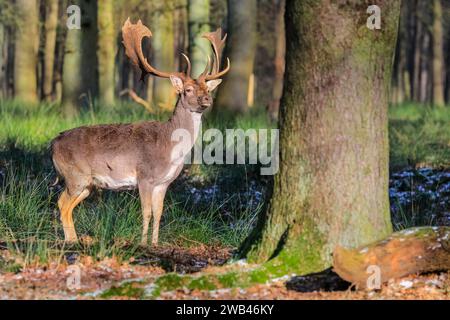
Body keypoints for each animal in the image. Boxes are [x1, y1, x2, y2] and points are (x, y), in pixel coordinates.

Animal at [51, 18, 230, 245]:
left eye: (207, 89)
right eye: (188, 90)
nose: (207, 99)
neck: (170, 147)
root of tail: (52, 144)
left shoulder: (164, 182)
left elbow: (159, 213)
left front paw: (155, 243)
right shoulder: (145, 176)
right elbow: (146, 212)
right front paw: (143, 244)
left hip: (88, 184)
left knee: (67, 205)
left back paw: (73, 240)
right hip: (75, 175)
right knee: (62, 202)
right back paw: (71, 241)